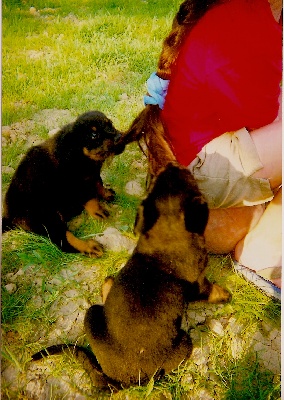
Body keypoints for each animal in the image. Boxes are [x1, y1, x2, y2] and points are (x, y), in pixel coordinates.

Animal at [2, 111, 124, 258]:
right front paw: (98, 211)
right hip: (47, 216)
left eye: (110, 124)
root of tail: (9, 217)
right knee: (62, 241)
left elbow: (98, 183)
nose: (120, 137)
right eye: (94, 135)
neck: (78, 153)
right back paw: (89, 247)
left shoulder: (92, 174)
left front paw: (106, 193)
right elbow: (90, 198)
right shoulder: (73, 184)